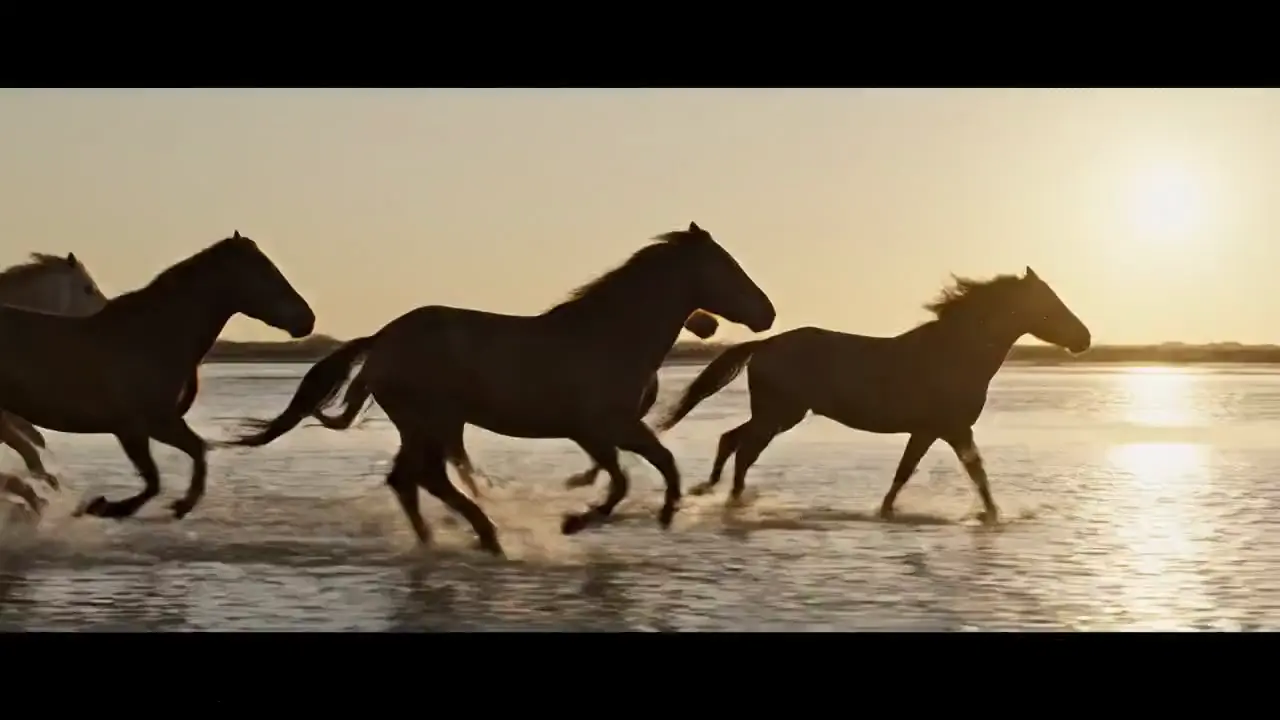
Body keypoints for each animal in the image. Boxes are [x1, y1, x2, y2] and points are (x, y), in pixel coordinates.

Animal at [0, 231, 315, 522]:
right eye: (265, 271)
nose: (307, 319)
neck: (152, 336)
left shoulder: (155, 425)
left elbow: (194, 453)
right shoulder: (141, 426)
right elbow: (160, 477)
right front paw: (107, 507)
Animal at [306, 309, 721, 498]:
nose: (710, 326)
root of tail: (381, 339)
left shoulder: (611, 425)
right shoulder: (603, 424)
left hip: (438, 422)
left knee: (440, 467)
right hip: (433, 420)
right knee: (439, 468)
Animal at [655, 267, 1091, 525]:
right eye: (1049, 305)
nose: (1084, 339)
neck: (955, 352)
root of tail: (763, 345)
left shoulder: (931, 431)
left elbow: (907, 472)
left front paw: (886, 511)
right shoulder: (952, 428)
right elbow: (974, 473)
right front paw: (994, 516)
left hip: (777, 414)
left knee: (731, 440)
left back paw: (718, 494)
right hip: (779, 415)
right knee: (743, 449)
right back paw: (732, 501)